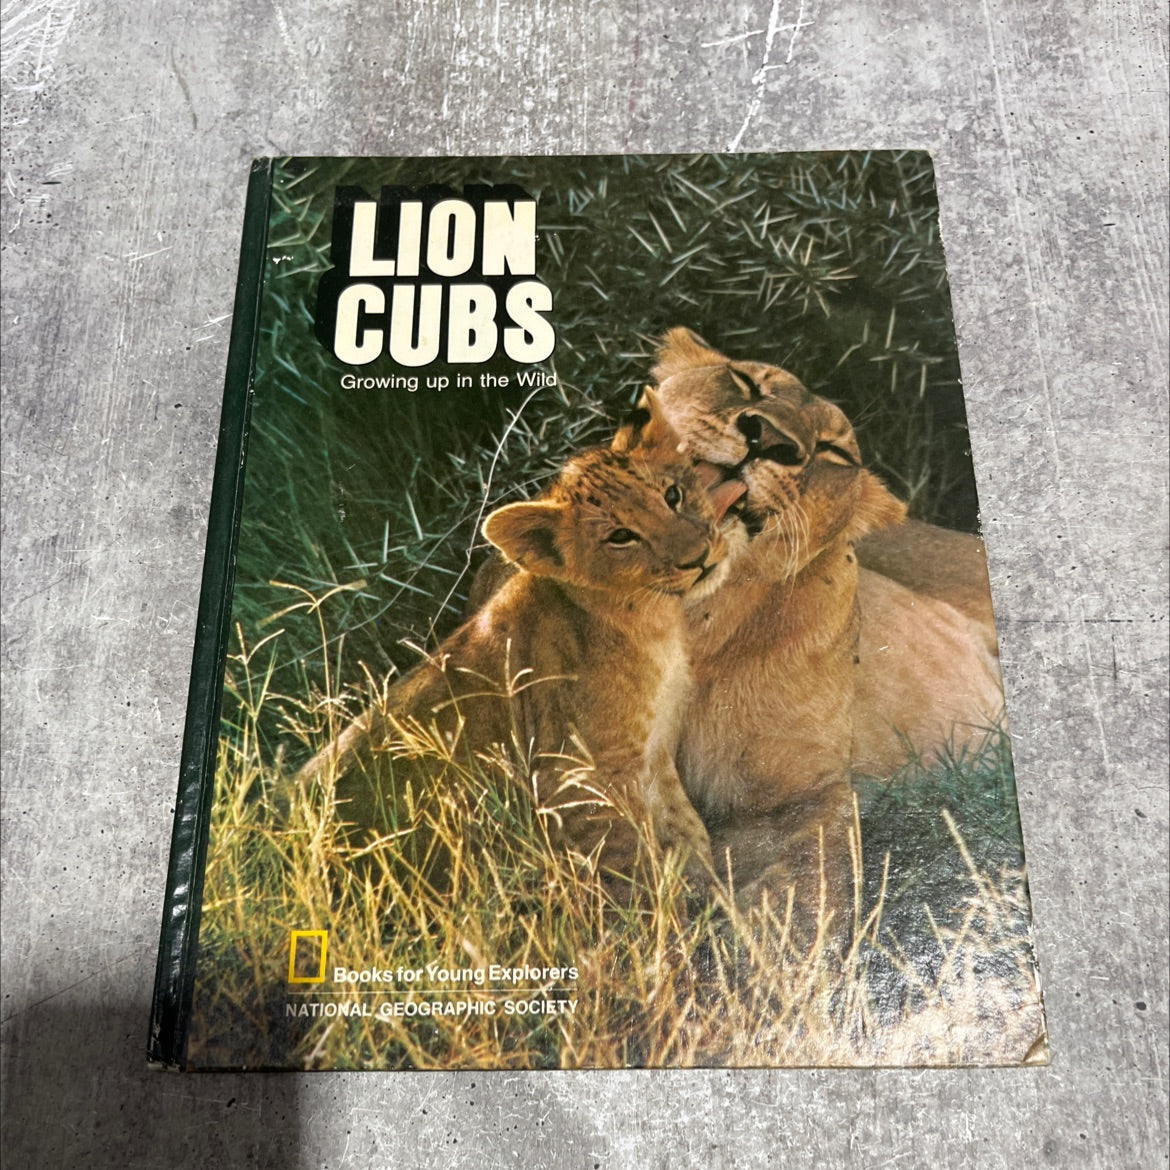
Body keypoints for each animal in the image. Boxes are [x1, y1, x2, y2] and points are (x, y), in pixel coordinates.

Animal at [296, 398, 743, 893]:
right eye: (620, 537)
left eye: (672, 496)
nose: (698, 558)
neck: (650, 623)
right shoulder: (575, 780)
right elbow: (630, 868)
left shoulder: (655, 758)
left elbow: (686, 834)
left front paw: (714, 900)